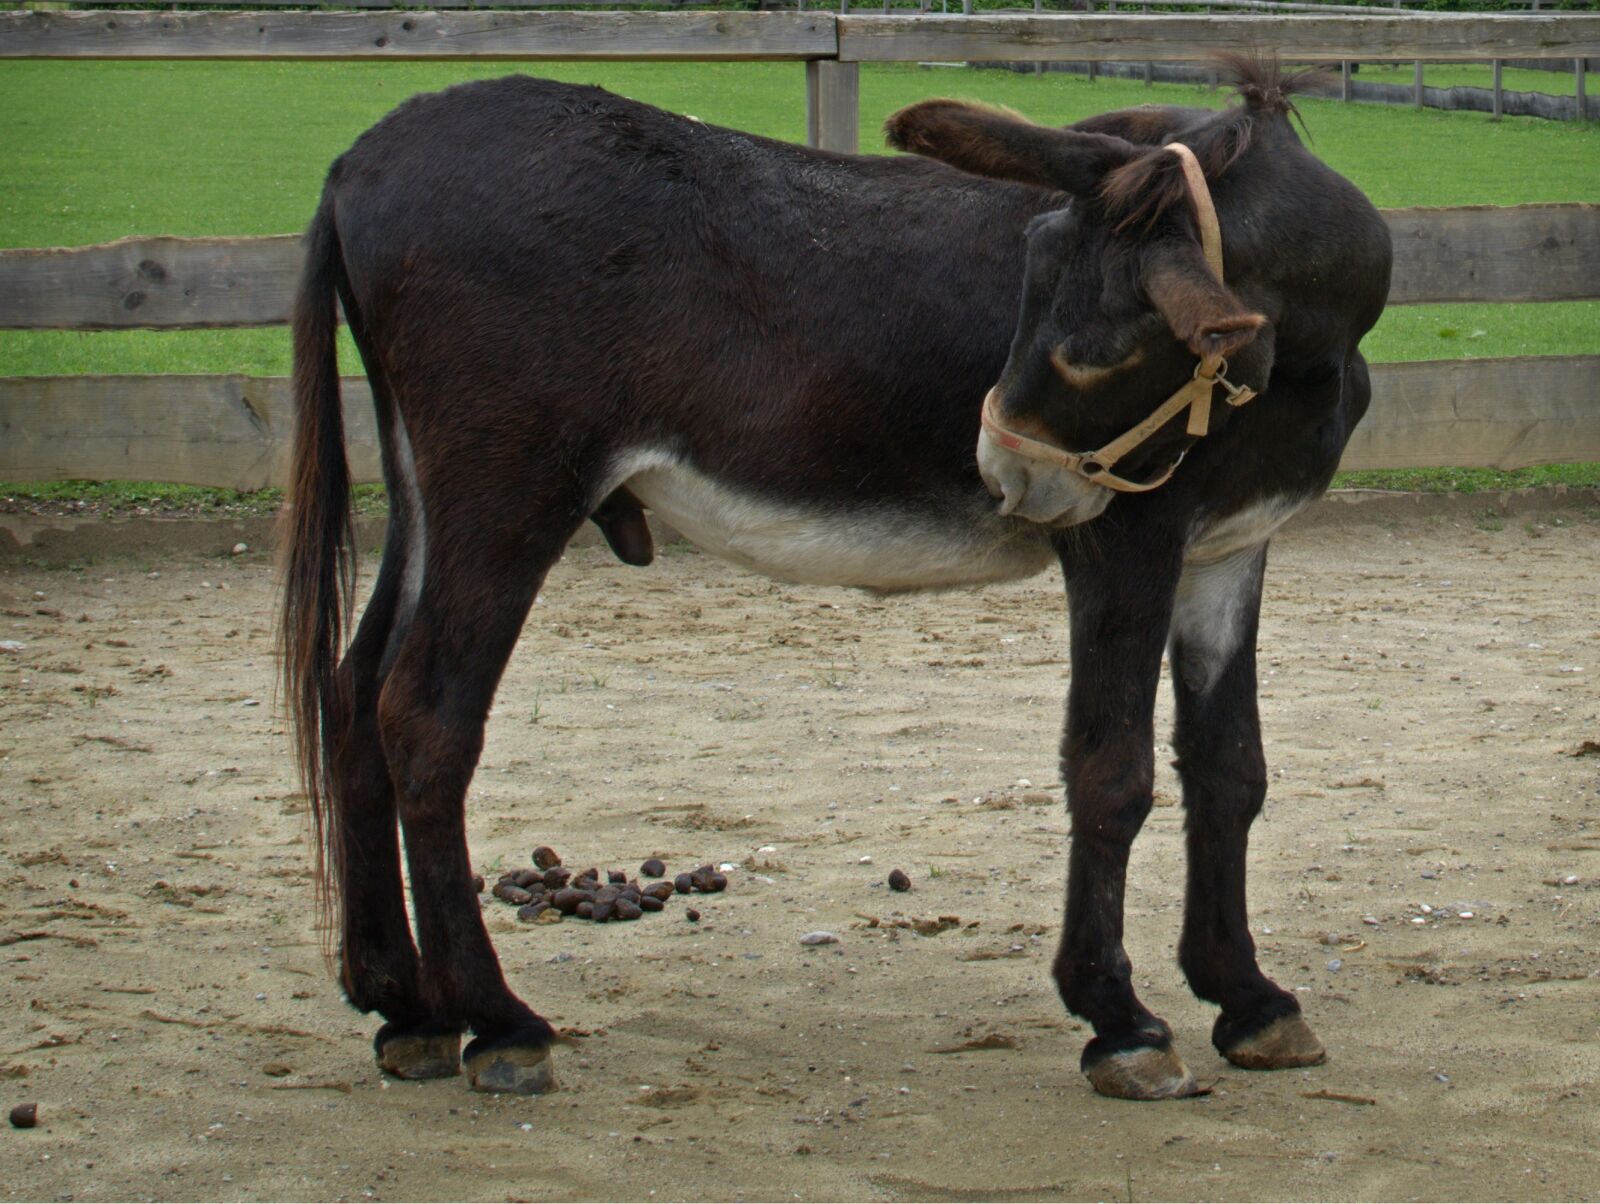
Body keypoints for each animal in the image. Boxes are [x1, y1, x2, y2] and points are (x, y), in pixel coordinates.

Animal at [280, 57, 1391, 1100]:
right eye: (1035, 287)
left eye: (1100, 348)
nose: (1002, 473)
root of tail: (359, 159)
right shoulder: (1126, 538)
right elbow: (1110, 770)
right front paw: (1119, 1020)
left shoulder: (1226, 547)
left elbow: (1228, 767)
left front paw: (1249, 999)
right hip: (506, 490)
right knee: (425, 718)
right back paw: (499, 1022)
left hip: (427, 491)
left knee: (356, 692)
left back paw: (405, 1007)